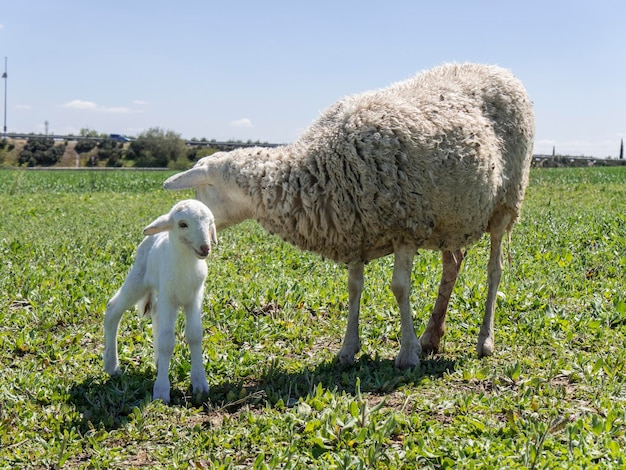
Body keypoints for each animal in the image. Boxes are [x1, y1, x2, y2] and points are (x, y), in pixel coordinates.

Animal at [102, 196, 217, 402]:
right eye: (183, 224)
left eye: (210, 223)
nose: (205, 247)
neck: (186, 266)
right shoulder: (169, 298)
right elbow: (166, 341)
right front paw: (162, 391)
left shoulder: (194, 298)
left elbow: (195, 335)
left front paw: (200, 383)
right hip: (139, 278)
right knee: (113, 309)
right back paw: (112, 365)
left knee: (155, 313)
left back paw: (156, 361)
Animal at [161, 63, 532, 370]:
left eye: (201, 195)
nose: (200, 244)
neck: (317, 169)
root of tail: (500, 70)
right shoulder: (354, 229)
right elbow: (354, 288)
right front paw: (347, 349)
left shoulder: (404, 227)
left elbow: (399, 287)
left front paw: (406, 353)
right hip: (452, 215)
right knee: (452, 265)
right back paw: (432, 335)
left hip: (506, 203)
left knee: (495, 270)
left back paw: (485, 341)